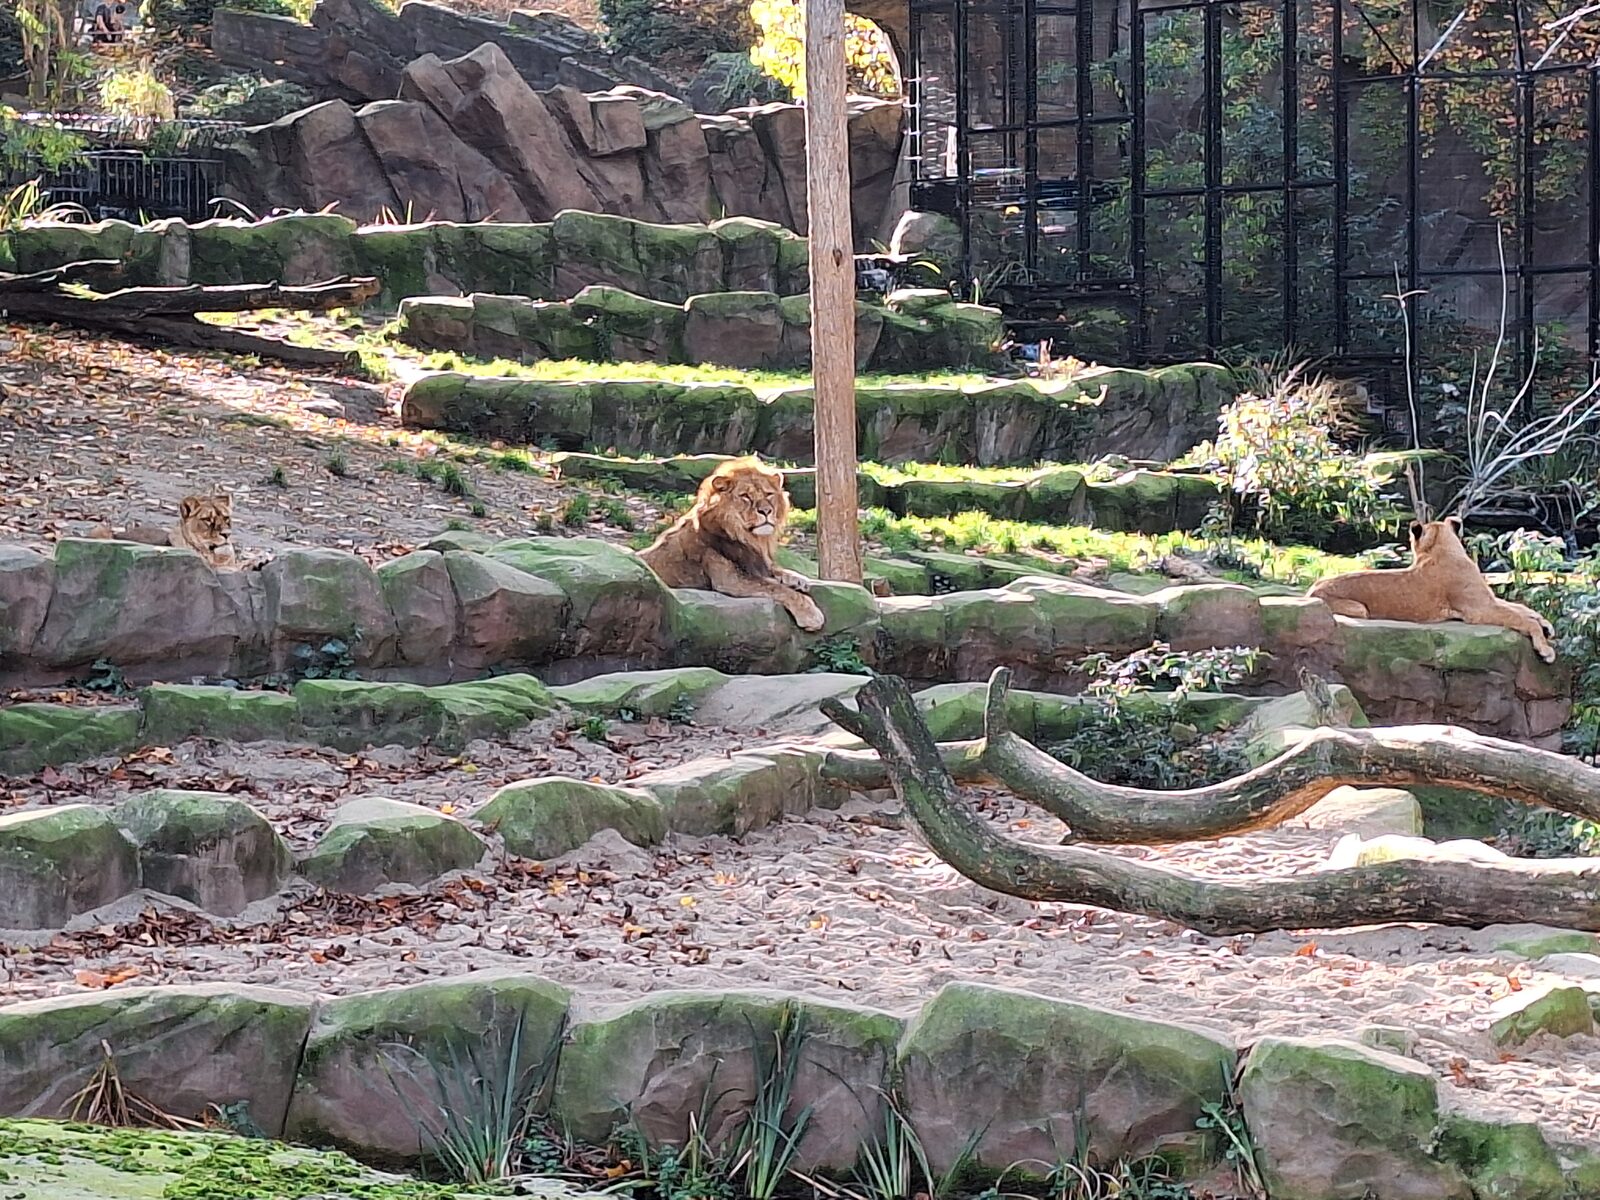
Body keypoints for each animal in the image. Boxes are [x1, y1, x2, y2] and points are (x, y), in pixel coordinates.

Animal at [638, 459, 825, 632]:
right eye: (745, 496)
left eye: (769, 494)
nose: (766, 511)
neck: (751, 539)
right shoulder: (730, 580)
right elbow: (776, 588)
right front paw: (811, 614)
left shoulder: (757, 562)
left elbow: (775, 569)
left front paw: (798, 579)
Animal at [1308, 516, 1556, 662]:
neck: (1439, 548)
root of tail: (1311, 590)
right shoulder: (1479, 609)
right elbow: (1521, 618)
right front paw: (1545, 649)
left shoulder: (1488, 600)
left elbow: (1521, 608)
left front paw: (1547, 626)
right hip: (1360, 609)